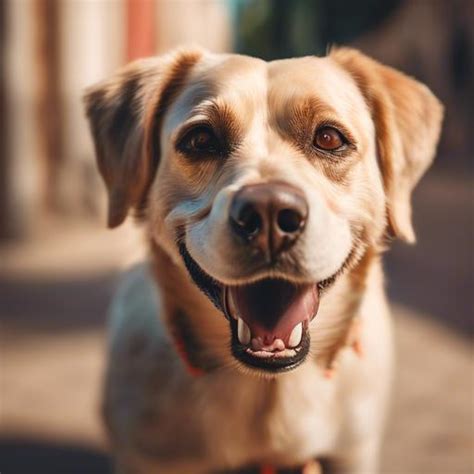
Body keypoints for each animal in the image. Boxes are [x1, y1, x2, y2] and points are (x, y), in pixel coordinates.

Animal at [84, 45, 444, 474]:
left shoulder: (354, 451)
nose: (269, 213)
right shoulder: (146, 454)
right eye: (200, 139)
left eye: (328, 138)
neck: (268, 390)